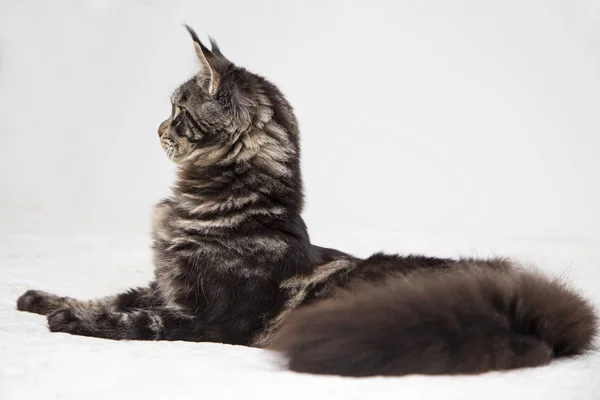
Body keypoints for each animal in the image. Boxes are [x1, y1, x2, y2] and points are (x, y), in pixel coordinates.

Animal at [16, 26, 596, 376]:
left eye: (178, 110)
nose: (157, 129)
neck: (225, 204)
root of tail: (542, 307)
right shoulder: (165, 286)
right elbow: (109, 296)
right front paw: (41, 299)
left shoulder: (208, 318)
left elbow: (133, 320)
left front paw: (68, 321)